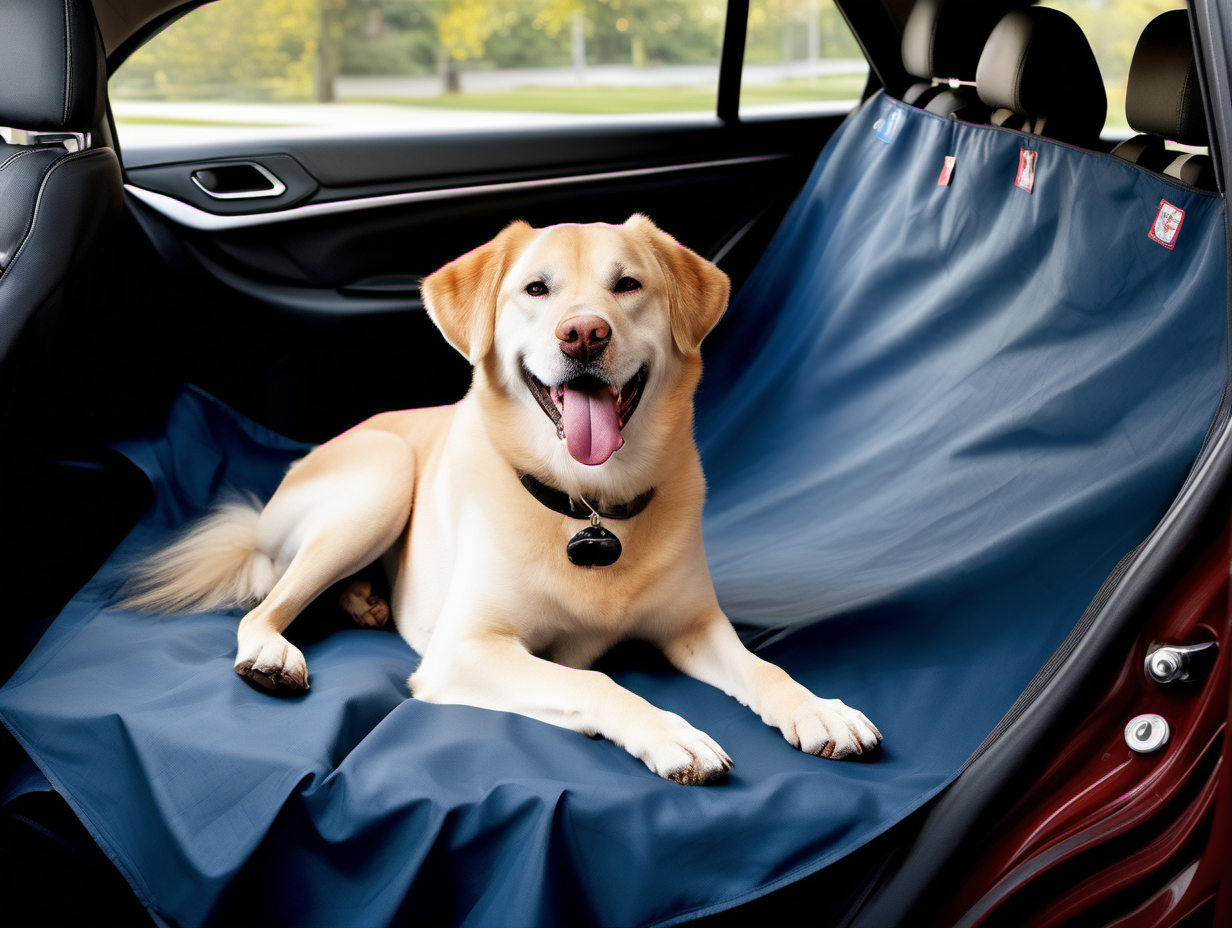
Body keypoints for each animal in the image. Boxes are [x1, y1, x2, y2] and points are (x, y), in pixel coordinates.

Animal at [122, 215, 877, 783]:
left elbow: (763, 668)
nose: (583, 333)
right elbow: (595, 684)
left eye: (627, 285)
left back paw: (362, 600)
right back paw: (277, 652)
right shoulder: (467, 650)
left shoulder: (693, 625)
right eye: (536, 289)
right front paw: (673, 733)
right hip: (382, 479)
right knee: (269, 602)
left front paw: (819, 709)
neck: (589, 502)